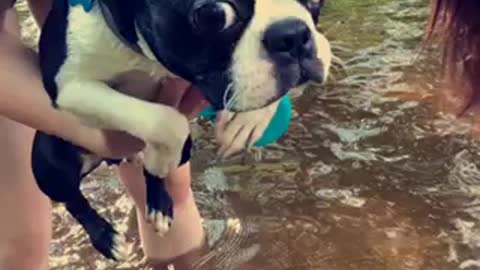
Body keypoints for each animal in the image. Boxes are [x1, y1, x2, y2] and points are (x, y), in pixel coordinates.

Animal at [31, 0, 332, 262]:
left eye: (316, 0)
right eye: (213, 15)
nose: (293, 35)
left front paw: (247, 120)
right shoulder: (71, 87)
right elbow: (168, 121)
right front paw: (158, 159)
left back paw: (158, 204)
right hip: (48, 161)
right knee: (72, 198)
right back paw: (106, 237)